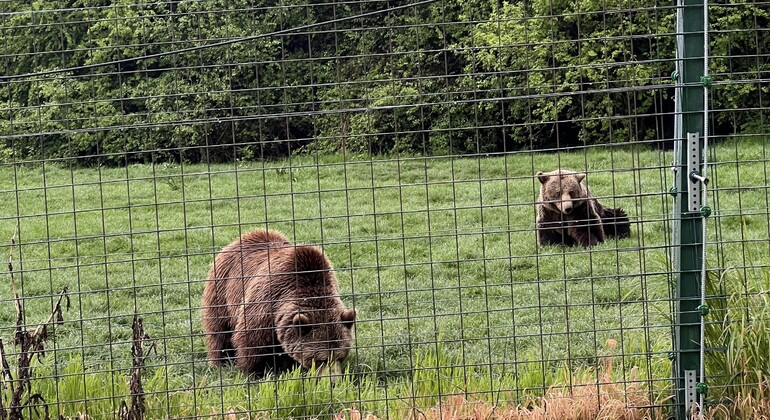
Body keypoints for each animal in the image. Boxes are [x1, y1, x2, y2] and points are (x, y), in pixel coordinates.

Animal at [201, 229, 356, 377]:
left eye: (341, 356)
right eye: (321, 359)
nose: (334, 381)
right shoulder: (265, 305)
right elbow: (250, 341)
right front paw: (253, 372)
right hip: (222, 289)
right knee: (219, 331)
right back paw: (220, 362)